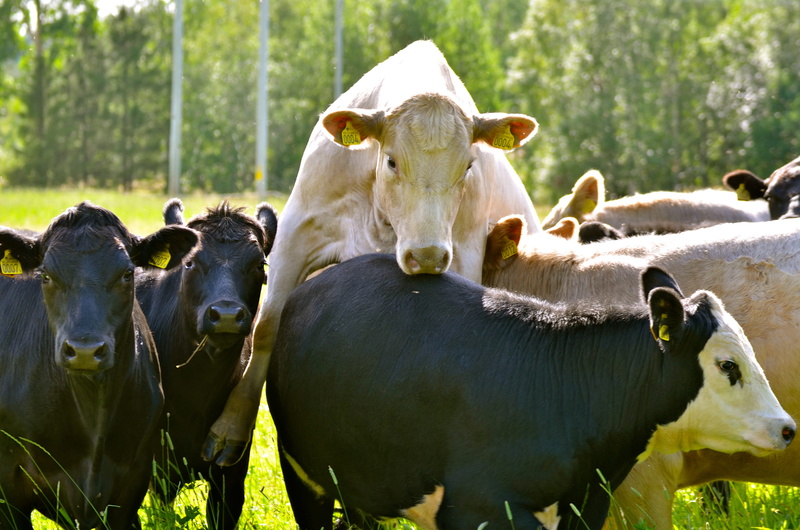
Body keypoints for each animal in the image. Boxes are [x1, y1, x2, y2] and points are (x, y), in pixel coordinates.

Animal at [202, 39, 542, 465]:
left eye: (467, 166)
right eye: (392, 161)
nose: (426, 255)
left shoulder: (463, 252)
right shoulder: (297, 234)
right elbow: (266, 326)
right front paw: (231, 426)